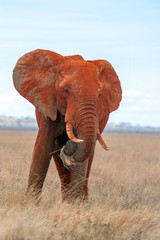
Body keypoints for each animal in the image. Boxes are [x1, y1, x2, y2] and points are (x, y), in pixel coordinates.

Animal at [12, 49, 122, 201]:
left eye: (100, 94)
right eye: (66, 90)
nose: (68, 145)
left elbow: (82, 156)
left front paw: (75, 204)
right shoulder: (48, 104)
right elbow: (43, 146)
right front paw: (30, 203)